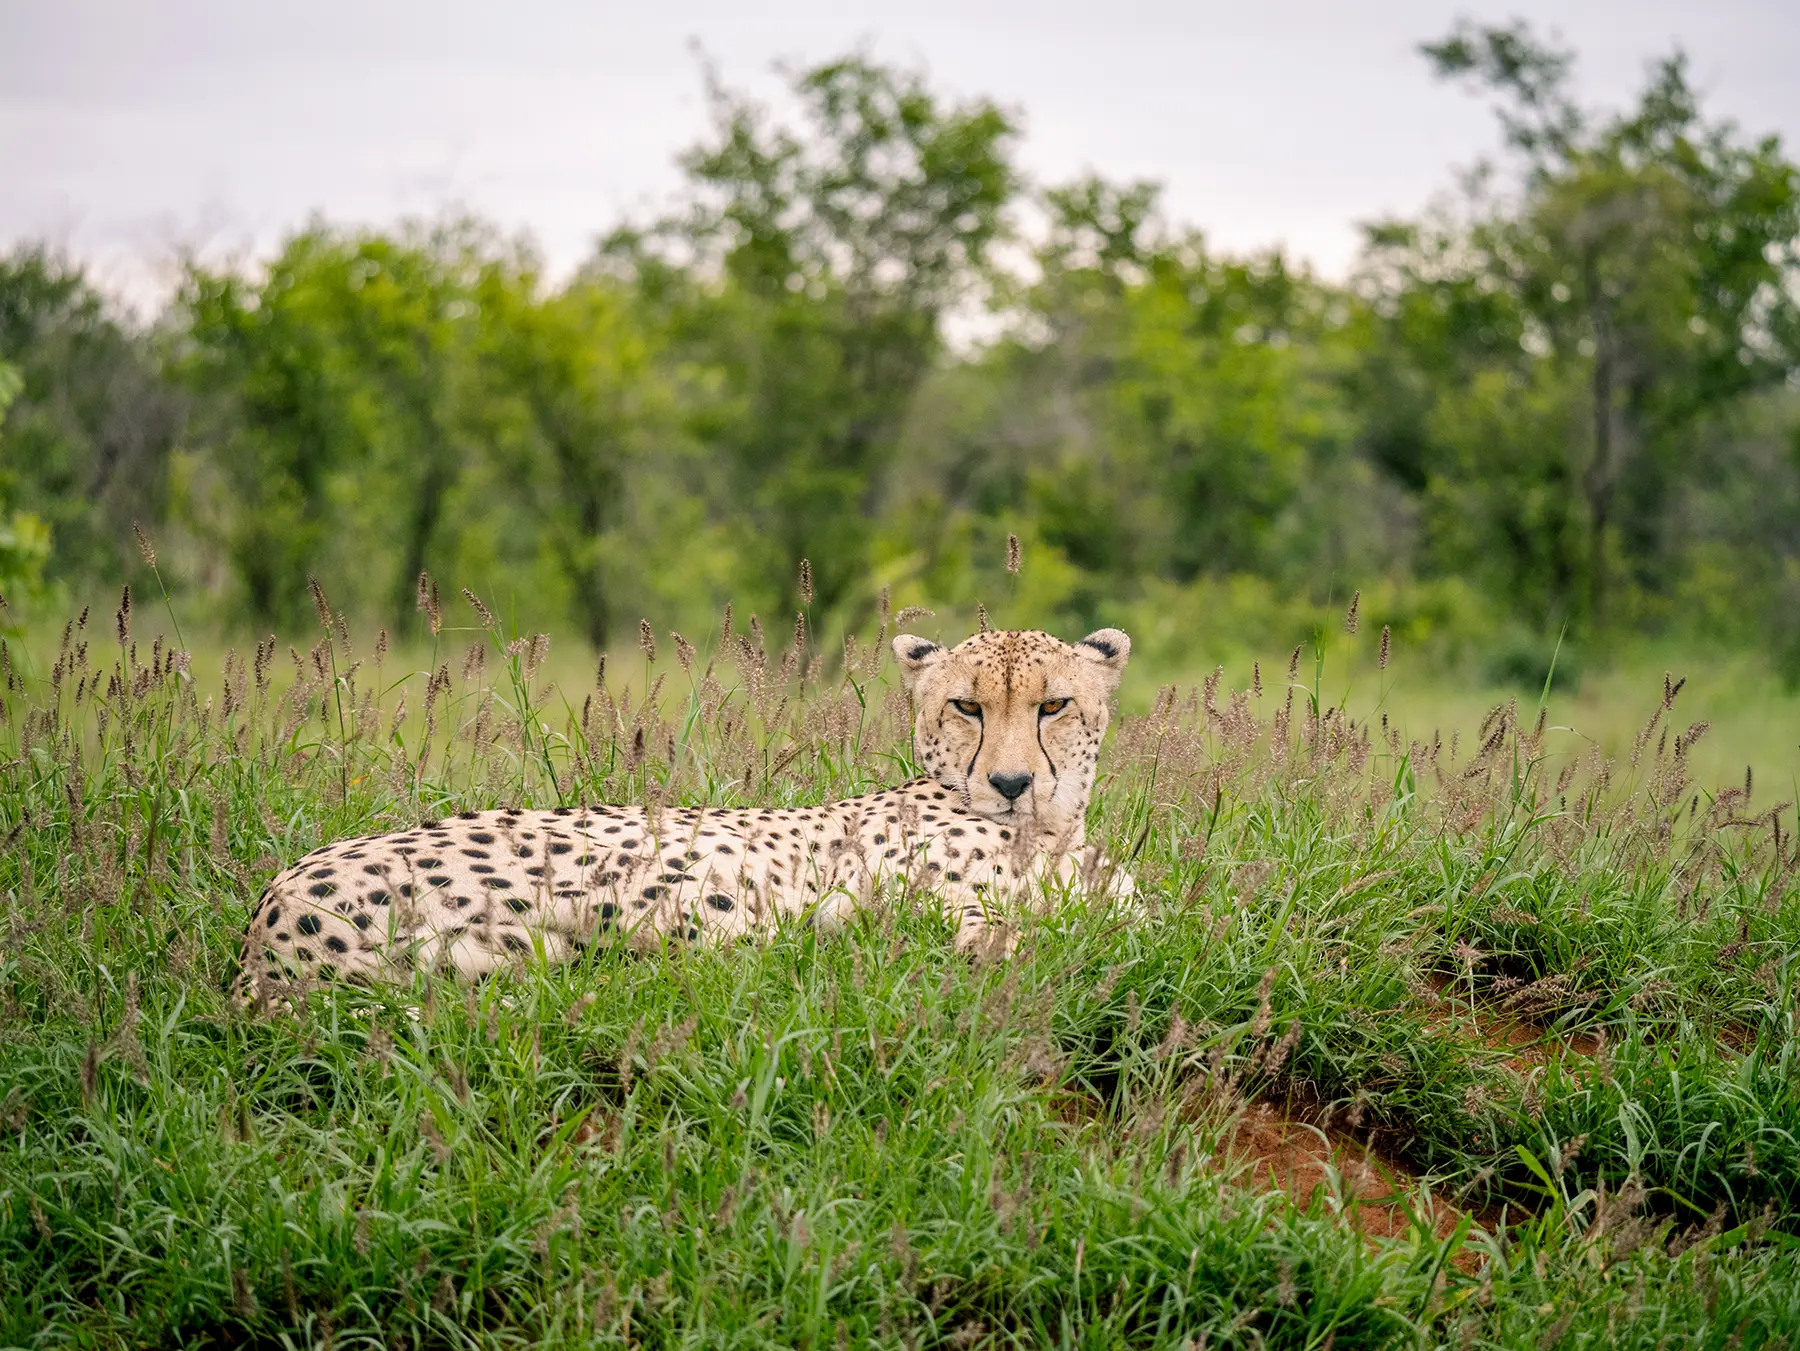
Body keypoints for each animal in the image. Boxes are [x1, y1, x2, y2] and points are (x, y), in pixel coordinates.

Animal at [232, 625, 1133, 1003]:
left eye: (1054, 705)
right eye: (966, 707)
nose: (1012, 782)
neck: (1053, 833)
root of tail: (265, 921)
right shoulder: (940, 902)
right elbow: (1014, 930)